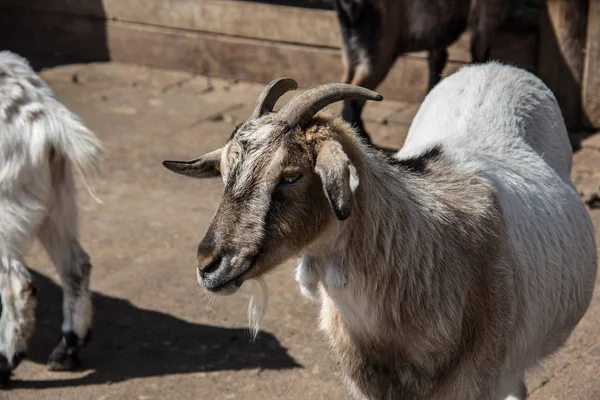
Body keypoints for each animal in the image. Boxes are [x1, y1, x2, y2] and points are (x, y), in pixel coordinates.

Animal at [0, 50, 101, 384]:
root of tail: (37, 107)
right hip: (55, 199)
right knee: (76, 265)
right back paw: (67, 350)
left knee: (17, 285)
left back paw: (5, 362)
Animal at [336, 0, 508, 143]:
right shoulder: (485, 18)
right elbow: (479, 54)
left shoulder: (438, 32)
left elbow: (437, 61)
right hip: (379, 50)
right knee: (355, 95)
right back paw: (363, 138)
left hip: (351, 51)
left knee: (346, 84)